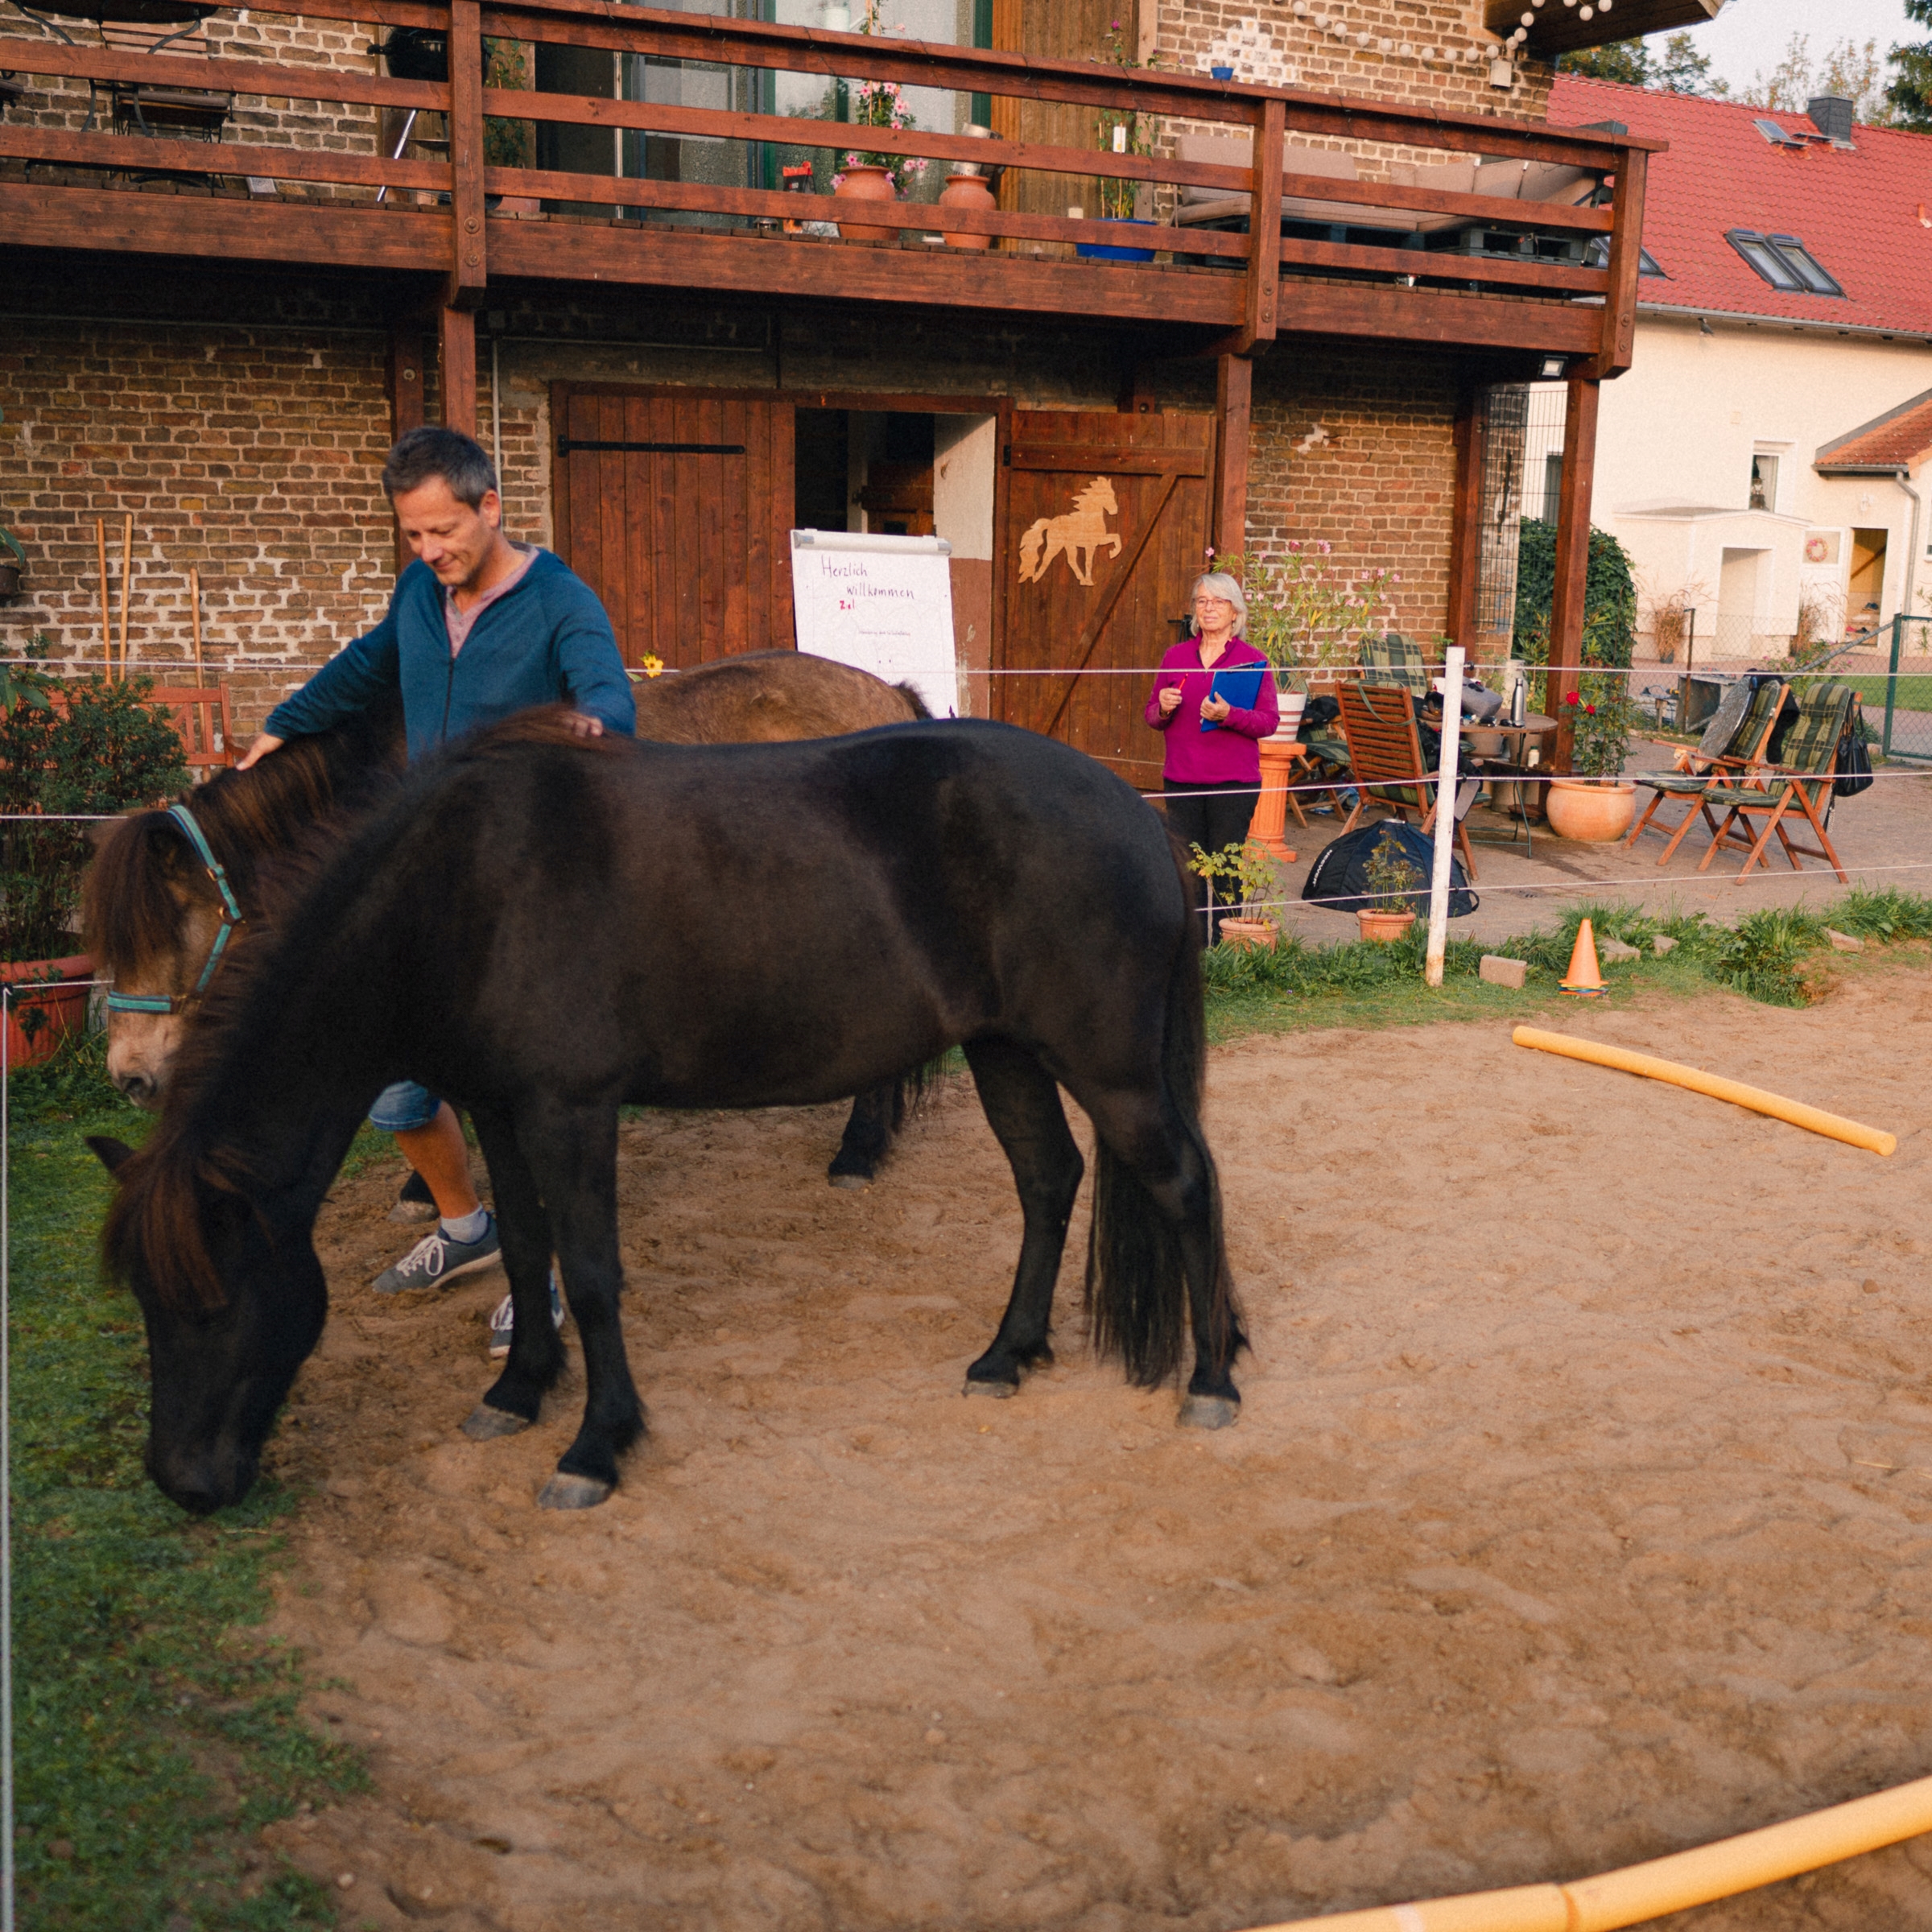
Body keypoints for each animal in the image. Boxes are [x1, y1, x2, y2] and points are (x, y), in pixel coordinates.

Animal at [1020, 477, 1128, 583]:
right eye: (1106, 495)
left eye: (1112, 494)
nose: (1115, 511)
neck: (1091, 518)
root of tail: (1050, 524)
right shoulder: (1091, 545)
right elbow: (1089, 562)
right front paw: (1089, 581)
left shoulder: (1100, 540)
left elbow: (1116, 537)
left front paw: (1112, 553)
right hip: (1056, 545)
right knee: (1047, 557)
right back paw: (1036, 577)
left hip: (1069, 545)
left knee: (1071, 560)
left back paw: (1081, 578)